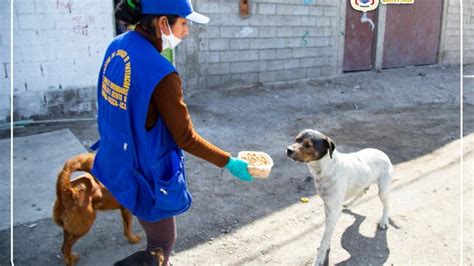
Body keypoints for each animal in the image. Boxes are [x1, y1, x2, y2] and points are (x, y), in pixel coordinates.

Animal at [286, 129, 394, 264]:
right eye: (296, 140)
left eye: (308, 145)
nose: (288, 150)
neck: (326, 167)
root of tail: (383, 153)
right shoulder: (328, 207)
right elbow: (327, 232)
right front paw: (326, 245)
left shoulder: (333, 211)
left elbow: (326, 236)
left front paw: (319, 258)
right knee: (363, 192)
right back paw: (348, 203)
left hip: (383, 190)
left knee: (387, 205)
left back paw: (384, 221)